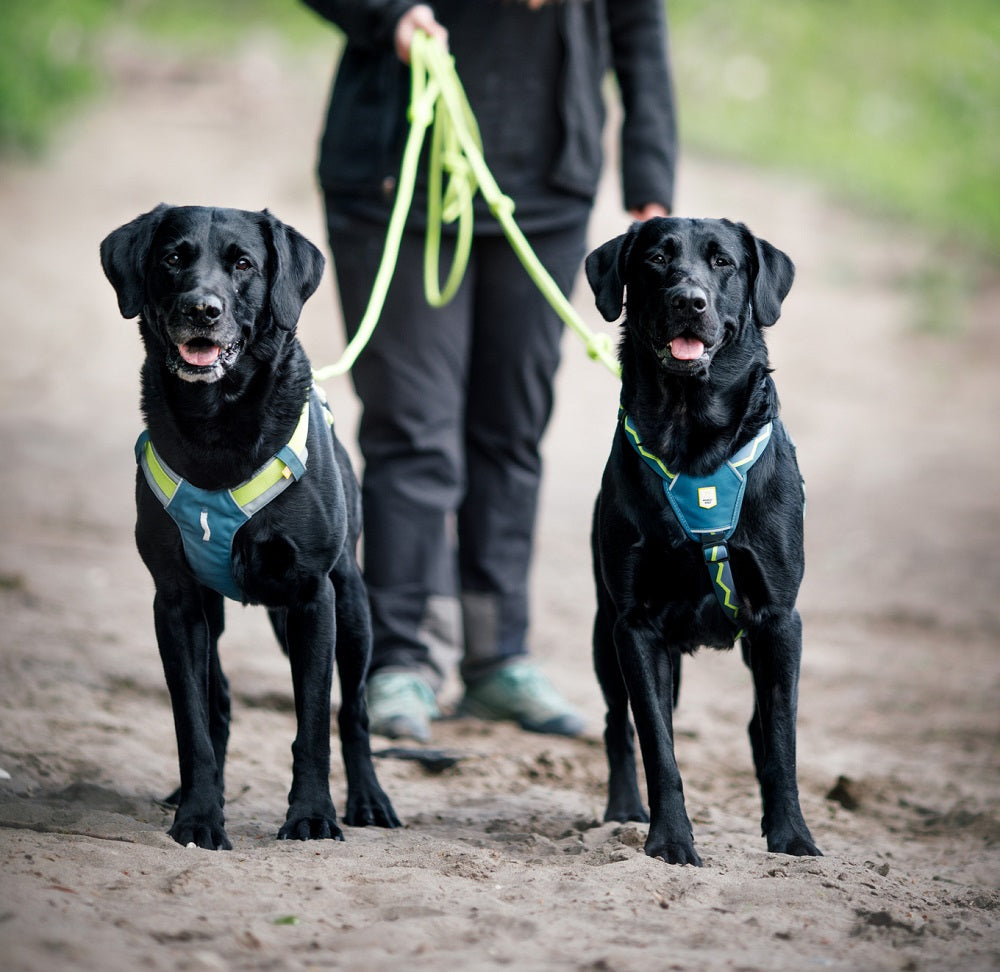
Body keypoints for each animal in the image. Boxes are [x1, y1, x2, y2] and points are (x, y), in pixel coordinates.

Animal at [100, 205, 398, 852]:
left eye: (243, 264)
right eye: (173, 258)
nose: (202, 309)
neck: (219, 425)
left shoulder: (313, 596)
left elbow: (314, 722)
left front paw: (312, 816)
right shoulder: (176, 601)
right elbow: (192, 722)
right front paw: (199, 817)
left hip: (352, 607)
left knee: (354, 710)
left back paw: (369, 799)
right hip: (213, 616)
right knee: (219, 703)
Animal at [584, 215, 820, 864]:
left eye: (723, 263)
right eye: (656, 260)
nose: (688, 301)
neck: (692, 432)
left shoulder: (779, 621)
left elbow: (782, 743)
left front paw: (792, 837)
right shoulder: (636, 626)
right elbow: (659, 748)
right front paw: (669, 840)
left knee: (760, 729)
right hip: (605, 633)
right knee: (619, 725)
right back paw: (623, 809)